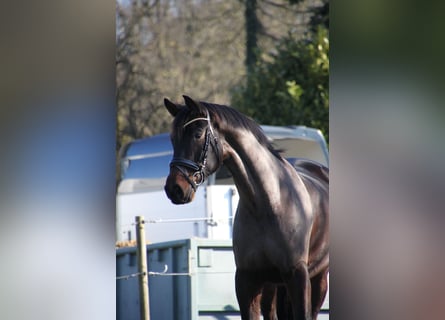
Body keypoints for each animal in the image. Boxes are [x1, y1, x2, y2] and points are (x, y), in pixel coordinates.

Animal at [164, 95, 330, 320]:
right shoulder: (247, 281)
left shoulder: (298, 276)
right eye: (173, 139)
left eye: (197, 134)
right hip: (272, 286)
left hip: (317, 278)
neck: (268, 204)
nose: (174, 189)